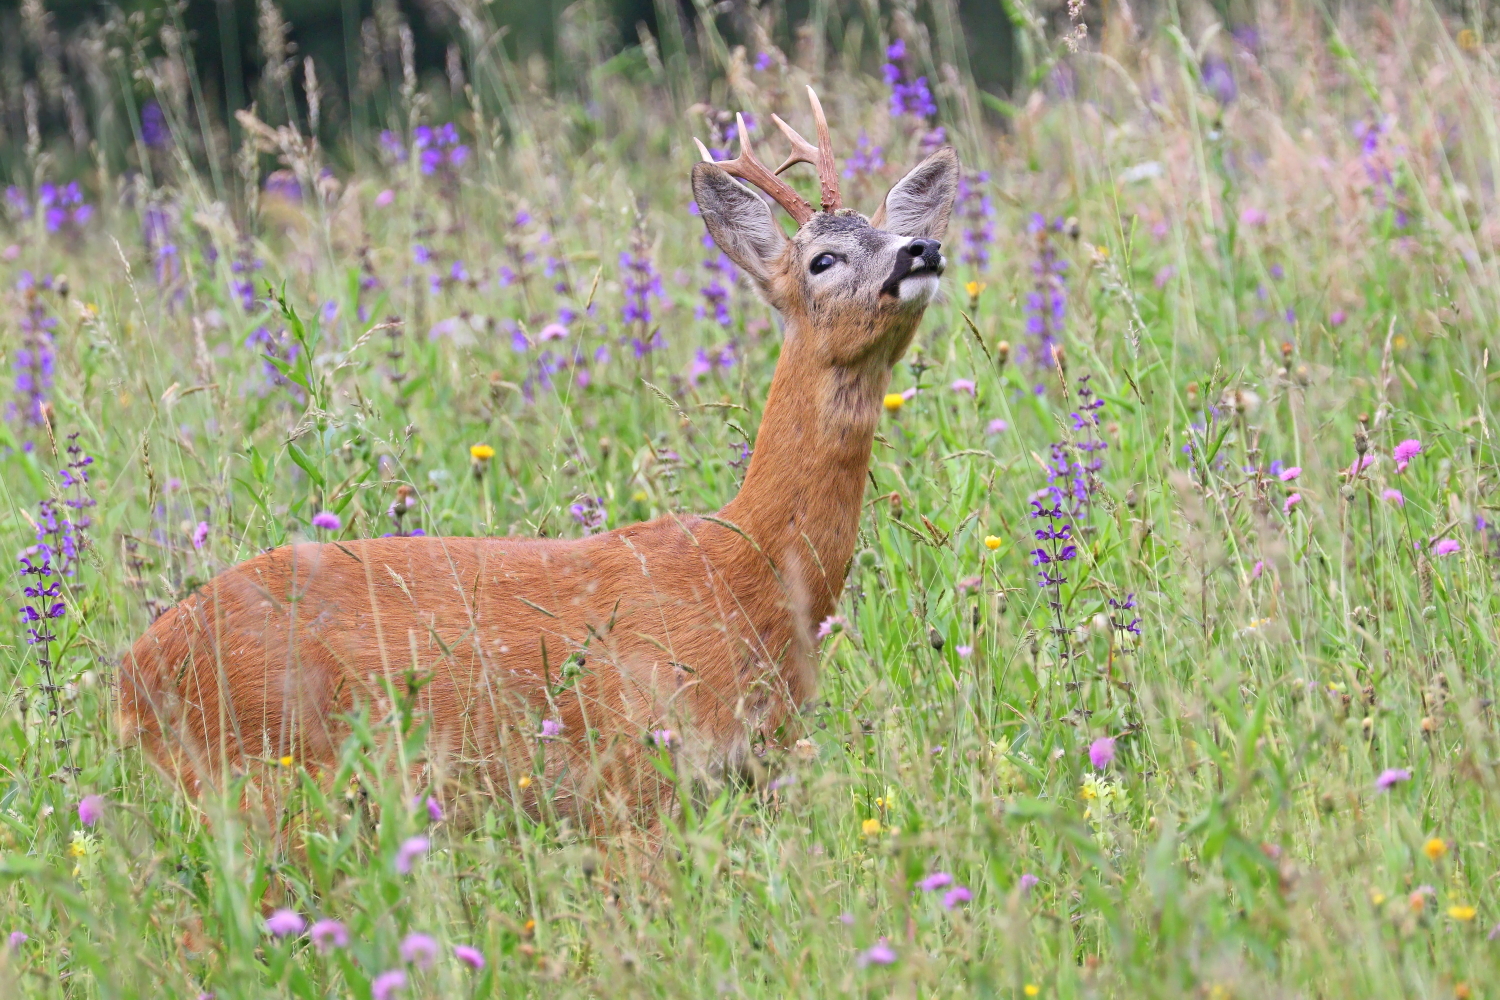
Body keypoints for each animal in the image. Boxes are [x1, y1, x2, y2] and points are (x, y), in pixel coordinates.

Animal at [118, 88, 958, 828]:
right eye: (823, 259)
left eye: (888, 232)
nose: (923, 247)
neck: (743, 572)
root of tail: (128, 678)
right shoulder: (636, 774)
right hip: (264, 776)